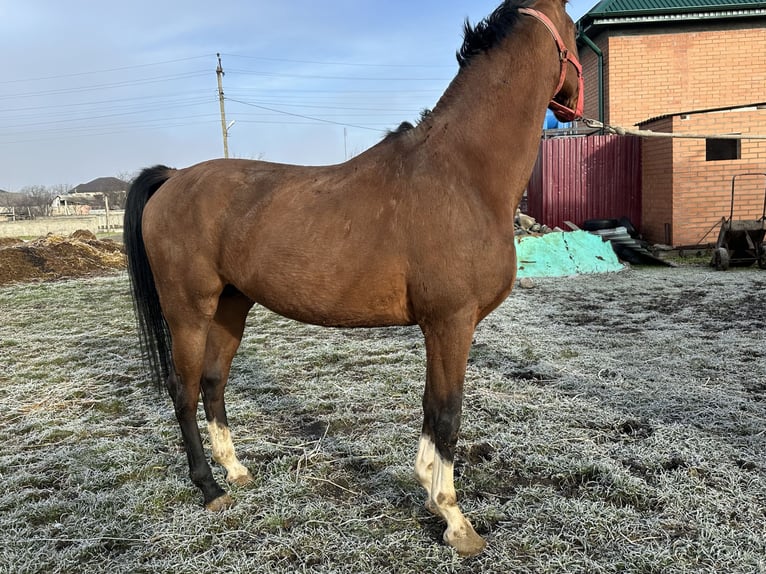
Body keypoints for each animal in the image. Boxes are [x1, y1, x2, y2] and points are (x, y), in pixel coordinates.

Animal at [124, 0, 582, 557]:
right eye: (575, 31)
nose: (572, 104)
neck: (462, 173)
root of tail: (173, 178)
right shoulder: (452, 322)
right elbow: (447, 413)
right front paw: (455, 520)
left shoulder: (440, 327)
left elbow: (430, 407)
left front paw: (428, 491)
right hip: (188, 311)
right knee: (184, 389)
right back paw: (209, 488)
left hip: (231, 307)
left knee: (213, 383)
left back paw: (235, 470)